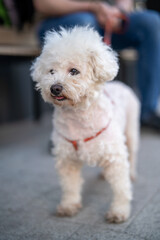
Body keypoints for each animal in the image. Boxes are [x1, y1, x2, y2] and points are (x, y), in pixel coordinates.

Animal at [31, 27, 139, 224]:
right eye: (51, 71)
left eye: (74, 71)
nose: (55, 88)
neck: (78, 116)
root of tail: (120, 84)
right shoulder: (68, 159)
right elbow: (70, 186)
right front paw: (69, 206)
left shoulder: (116, 157)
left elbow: (121, 188)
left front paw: (119, 211)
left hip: (131, 130)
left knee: (133, 154)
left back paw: (133, 173)